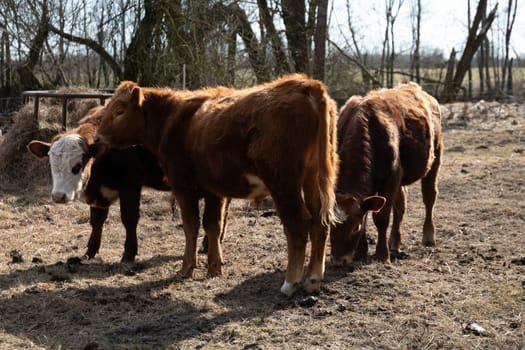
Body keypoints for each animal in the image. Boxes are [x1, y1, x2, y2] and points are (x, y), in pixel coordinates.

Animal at [94, 74, 340, 296]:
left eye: (119, 111)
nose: (97, 138)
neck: (173, 119)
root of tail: (304, 84)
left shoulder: (183, 187)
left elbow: (191, 225)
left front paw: (186, 268)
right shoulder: (214, 191)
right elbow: (213, 225)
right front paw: (214, 267)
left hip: (283, 183)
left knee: (298, 225)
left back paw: (290, 283)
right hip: (312, 179)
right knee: (320, 223)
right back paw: (313, 279)